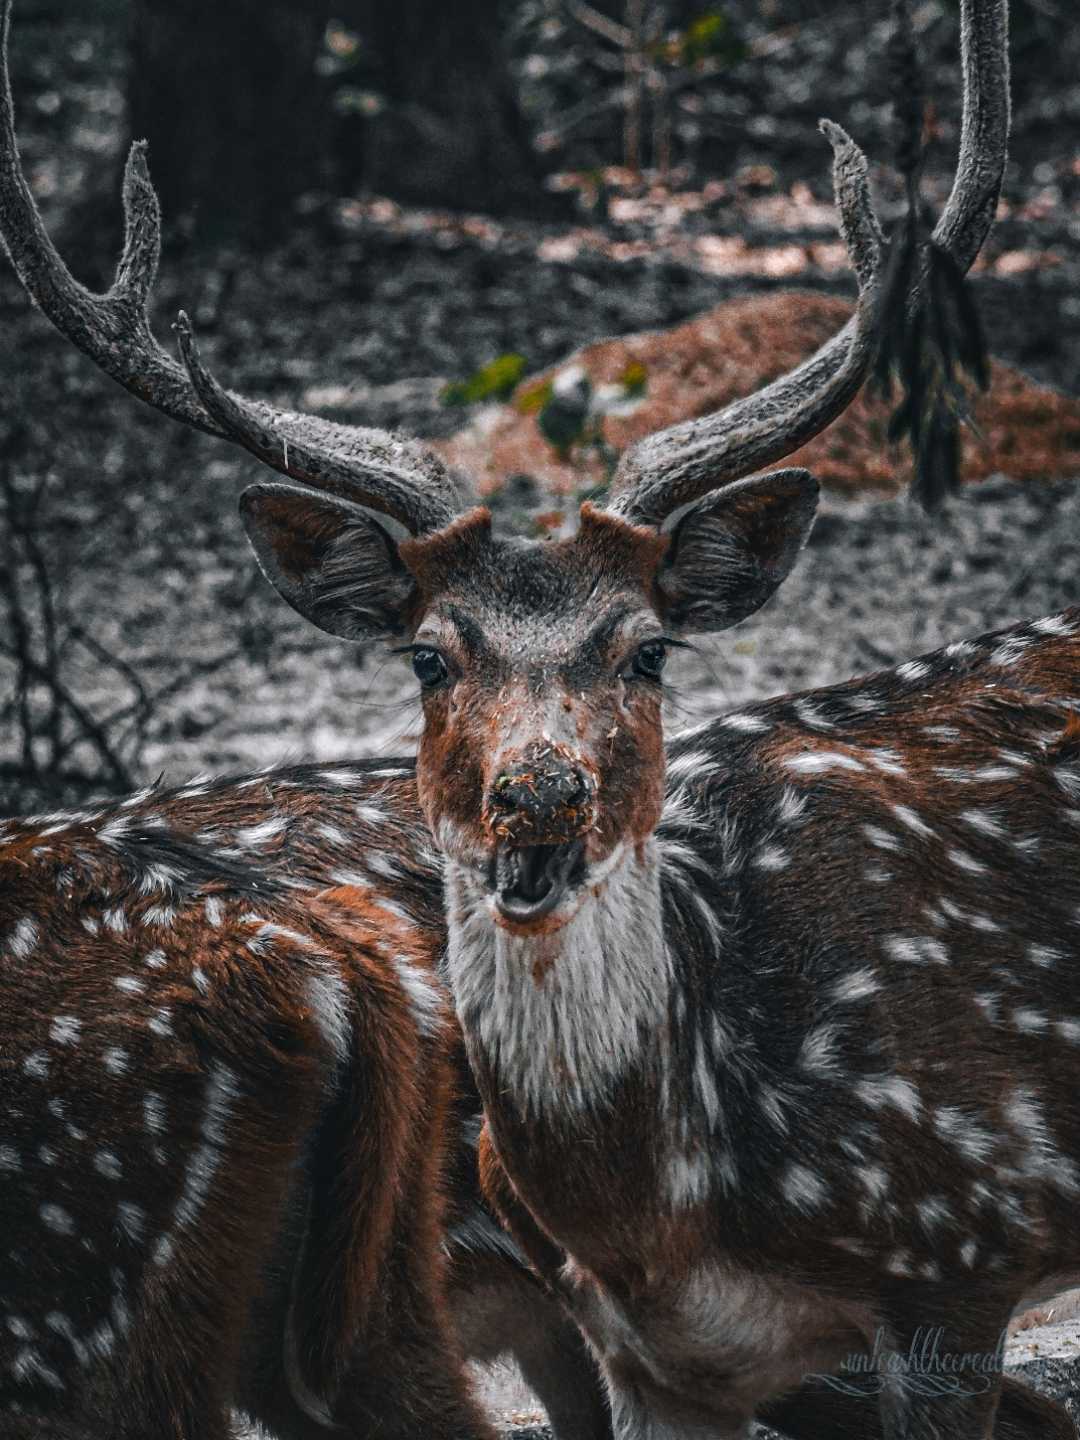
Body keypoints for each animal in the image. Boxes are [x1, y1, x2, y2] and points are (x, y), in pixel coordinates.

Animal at [5, 0, 1079, 1436]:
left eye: (649, 645)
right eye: (427, 655)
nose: (541, 793)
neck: (671, 1199)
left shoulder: (959, 1247)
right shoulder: (646, 1354)